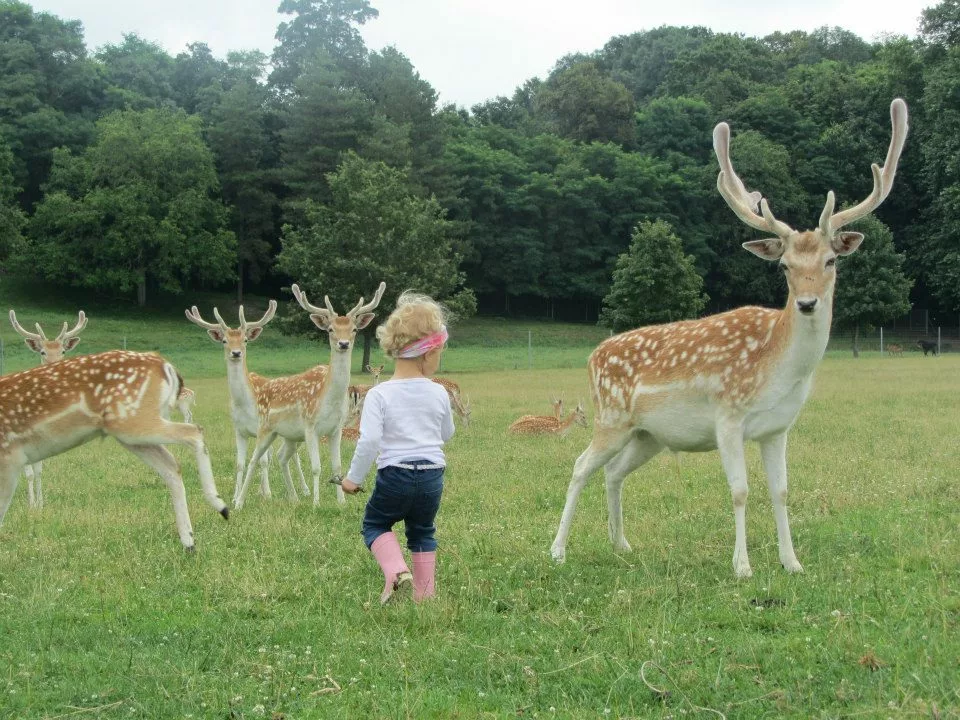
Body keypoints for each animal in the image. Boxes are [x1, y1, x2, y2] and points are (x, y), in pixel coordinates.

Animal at [0, 352, 229, 548]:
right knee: (172, 465)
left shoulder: (10, 457)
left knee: (194, 431)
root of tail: (166, 366)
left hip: (133, 421)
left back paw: (220, 507)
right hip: (131, 432)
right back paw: (189, 541)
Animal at [8, 308, 88, 506]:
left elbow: (38, 471)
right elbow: (29, 473)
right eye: (43, 352)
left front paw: (40, 503)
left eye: (63, 351)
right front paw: (31, 505)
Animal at [186, 300, 310, 504]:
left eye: (245, 340)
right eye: (224, 340)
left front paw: (268, 494)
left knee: (294, 456)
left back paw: (304, 489)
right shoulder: (239, 430)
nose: (236, 353)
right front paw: (237, 496)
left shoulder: (262, 428)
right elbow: (240, 463)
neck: (246, 405)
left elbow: (263, 461)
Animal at [232, 278, 386, 510]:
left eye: (354, 329)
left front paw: (341, 502)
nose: (343, 344)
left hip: (287, 435)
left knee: (280, 457)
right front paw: (316, 503)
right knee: (253, 460)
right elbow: (316, 467)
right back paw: (239, 503)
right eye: (330, 329)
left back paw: (293, 498)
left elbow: (337, 467)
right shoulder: (310, 426)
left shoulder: (335, 429)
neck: (329, 400)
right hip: (265, 429)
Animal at [548, 97, 908, 580]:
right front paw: (742, 566)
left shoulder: (778, 428)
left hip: (648, 435)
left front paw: (792, 562)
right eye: (785, 265)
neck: (778, 369)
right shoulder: (728, 417)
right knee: (579, 466)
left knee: (614, 472)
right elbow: (740, 491)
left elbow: (781, 491)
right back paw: (558, 550)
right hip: (611, 417)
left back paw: (620, 543)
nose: (807, 303)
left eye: (831, 260)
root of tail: (591, 357)